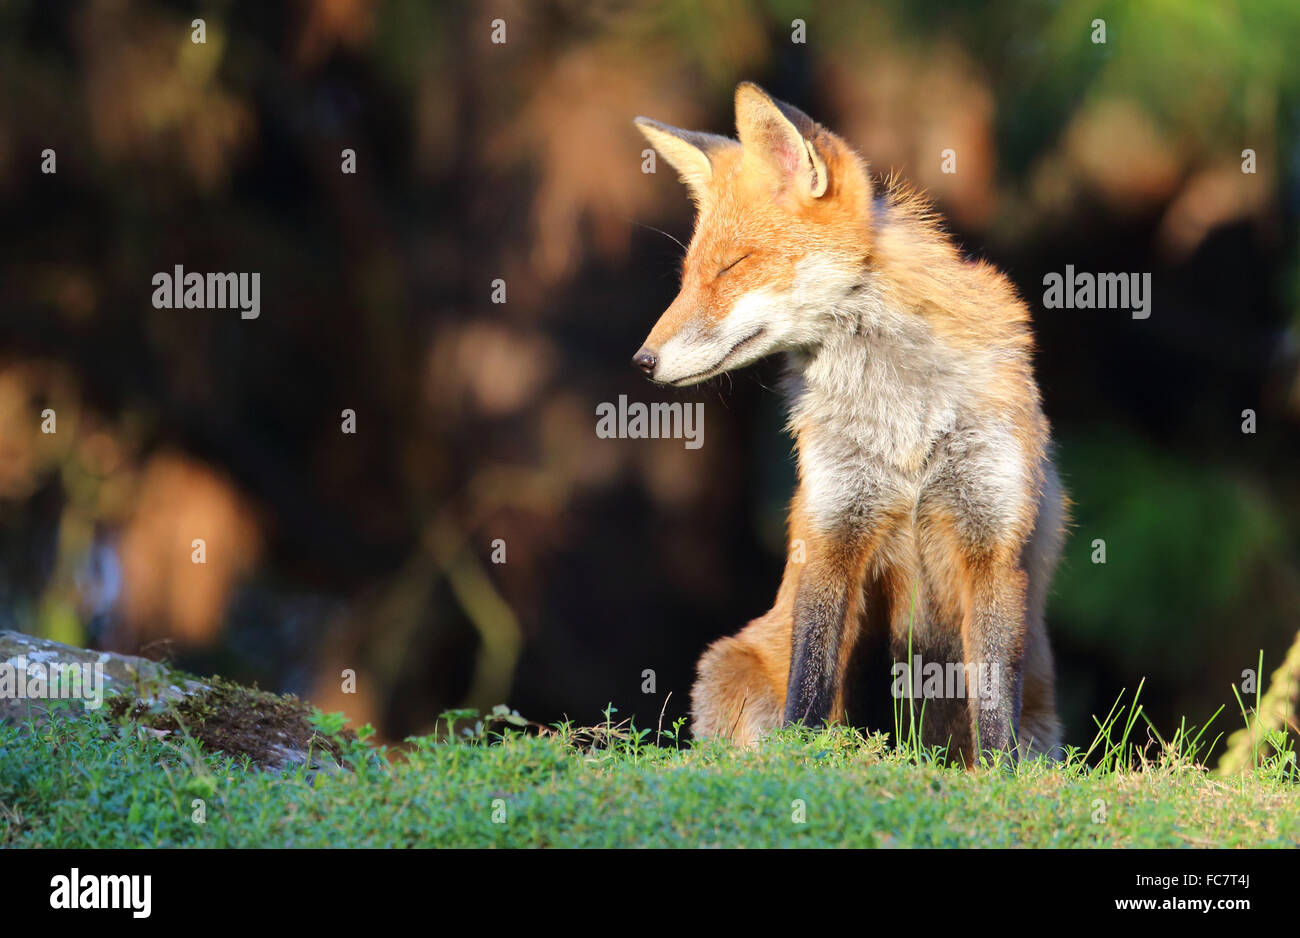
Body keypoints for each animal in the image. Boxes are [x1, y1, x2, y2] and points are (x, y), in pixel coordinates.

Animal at [629, 83, 1066, 763]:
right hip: (727, 667)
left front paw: (998, 772)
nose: (642, 362)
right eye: (688, 277)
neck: (905, 424)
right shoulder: (833, 526)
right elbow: (812, 671)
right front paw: (802, 756)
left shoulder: (991, 536)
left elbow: (994, 700)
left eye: (732, 267)